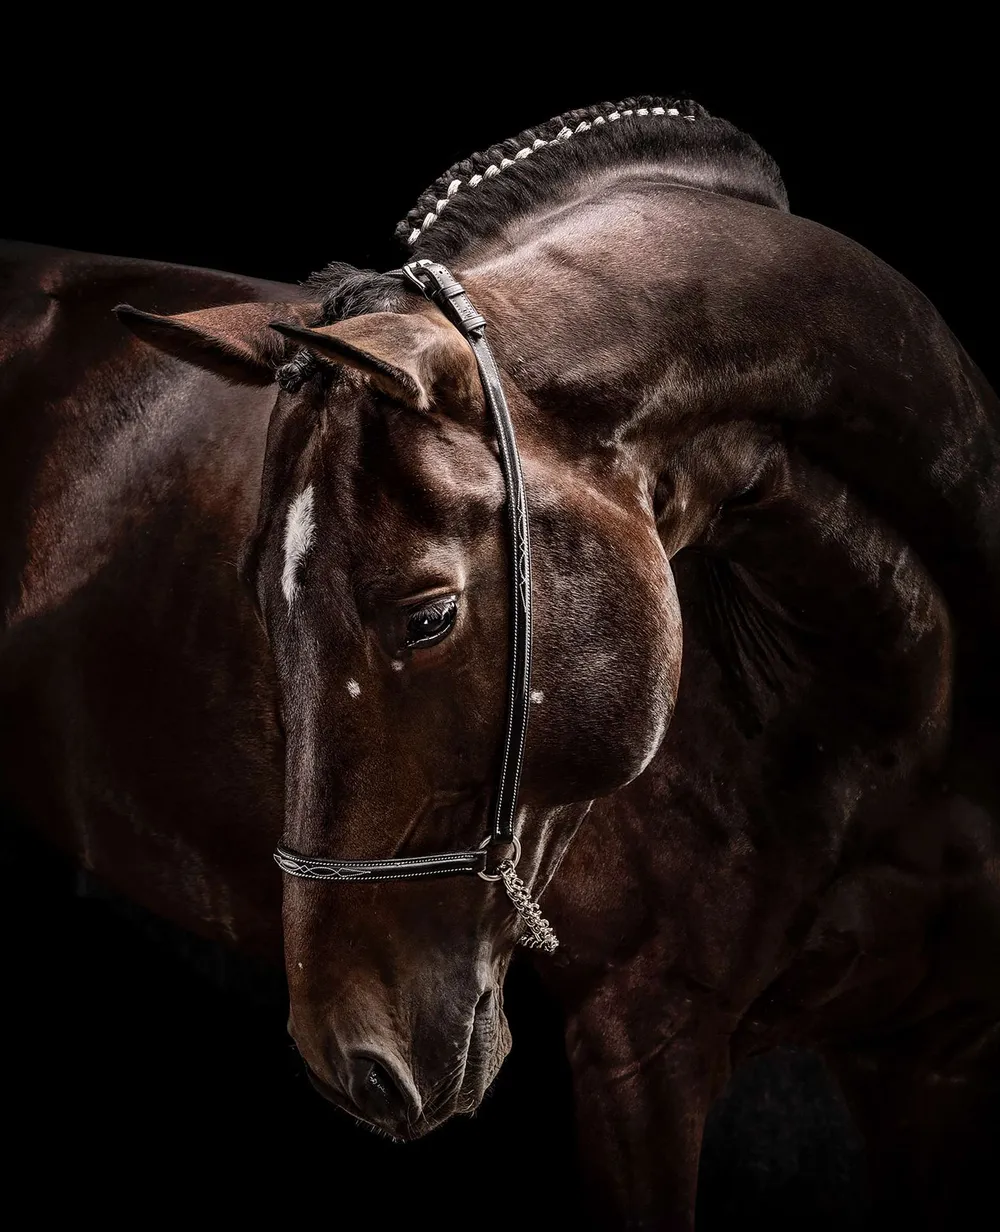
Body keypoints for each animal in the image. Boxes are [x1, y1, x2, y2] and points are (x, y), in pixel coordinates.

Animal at [2, 95, 999, 1229]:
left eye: (429, 617)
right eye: (258, 601)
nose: (356, 1061)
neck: (884, 730)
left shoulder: (940, 1052)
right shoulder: (642, 1044)